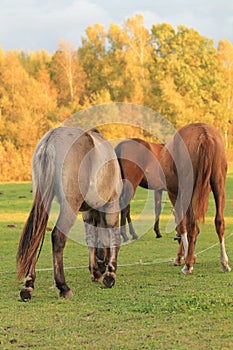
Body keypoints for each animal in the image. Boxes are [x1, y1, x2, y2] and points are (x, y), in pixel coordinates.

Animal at [16, 126, 122, 300]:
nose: (99, 271)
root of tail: (51, 140)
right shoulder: (112, 203)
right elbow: (114, 235)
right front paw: (110, 274)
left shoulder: (88, 214)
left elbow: (91, 239)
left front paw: (95, 271)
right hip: (69, 206)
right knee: (58, 237)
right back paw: (63, 287)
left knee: (34, 238)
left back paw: (28, 285)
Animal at [160, 122, 231, 274]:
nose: (175, 238)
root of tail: (204, 135)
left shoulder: (175, 195)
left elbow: (183, 225)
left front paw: (186, 257)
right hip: (219, 183)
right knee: (219, 221)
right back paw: (224, 263)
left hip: (188, 189)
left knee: (191, 225)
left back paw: (187, 266)